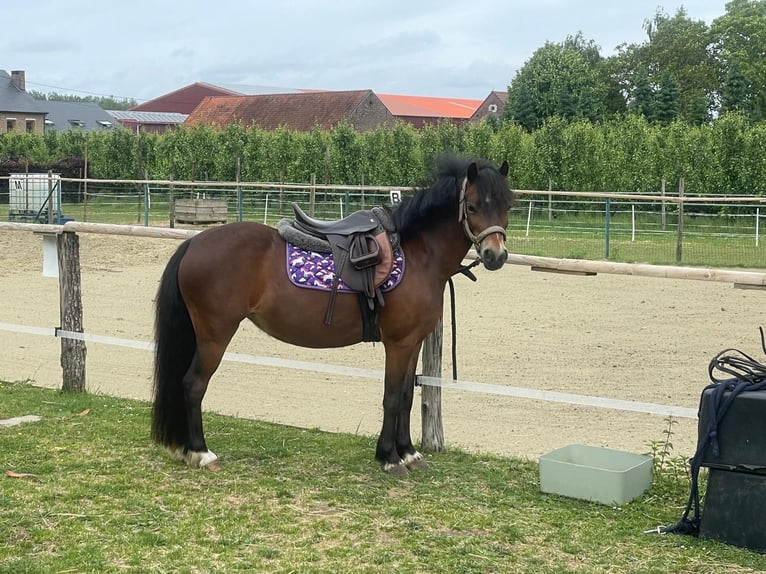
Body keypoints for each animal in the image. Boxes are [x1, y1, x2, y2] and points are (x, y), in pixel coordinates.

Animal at [151, 155, 513, 475]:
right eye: (472, 207)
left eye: (508, 205)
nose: (495, 255)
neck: (418, 255)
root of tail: (194, 244)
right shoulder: (398, 344)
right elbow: (392, 398)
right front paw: (390, 458)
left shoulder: (412, 344)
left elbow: (408, 397)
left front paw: (409, 453)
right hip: (215, 336)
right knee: (193, 385)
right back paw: (201, 453)